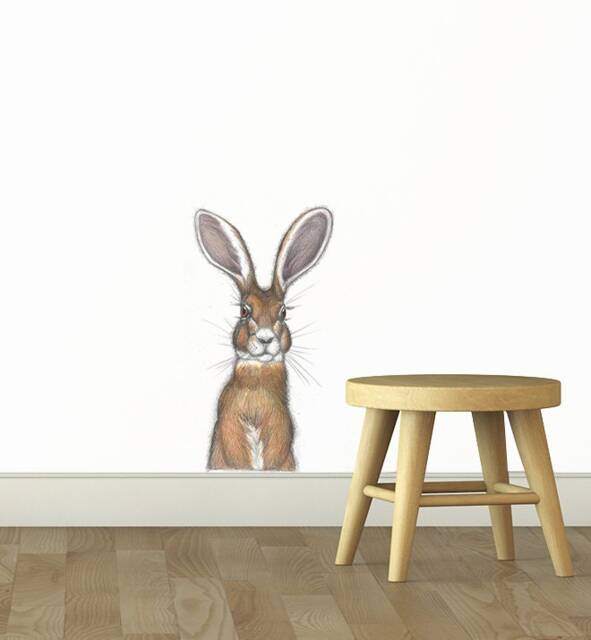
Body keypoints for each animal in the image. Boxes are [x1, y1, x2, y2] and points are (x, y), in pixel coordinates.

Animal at [194, 207, 333, 470]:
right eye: (244, 311)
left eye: (283, 312)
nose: (266, 339)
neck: (258, 373)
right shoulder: (229, 427)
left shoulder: (282, 428)